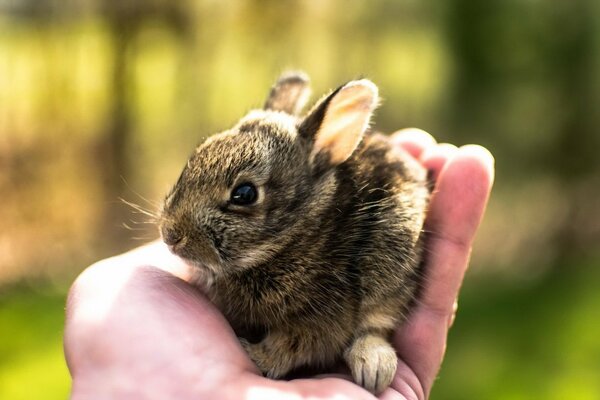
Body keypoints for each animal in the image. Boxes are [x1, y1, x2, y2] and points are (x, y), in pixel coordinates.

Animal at [159, 72, 428, 394]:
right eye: (194, 159)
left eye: (244, 194)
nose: (170, 235)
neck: (293, 236)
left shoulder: (319, 318)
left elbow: (290, 347)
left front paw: (252, 353)